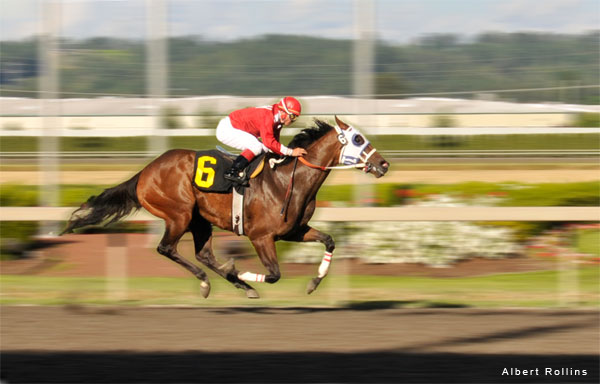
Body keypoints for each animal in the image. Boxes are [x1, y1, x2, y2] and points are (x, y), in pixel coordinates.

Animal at [61, 115, 390, 298]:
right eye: (357, 138)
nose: (383, 164)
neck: (287, 179)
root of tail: (144, 172)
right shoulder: (261, 237)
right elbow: (274, 274)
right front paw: (240, 271)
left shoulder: (293, 231)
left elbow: (330, 240)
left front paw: (313, 282)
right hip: (179, 214)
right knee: (167, 249)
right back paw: (214, 282)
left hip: (199, 220)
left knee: (204, 254)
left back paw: (237, 285)